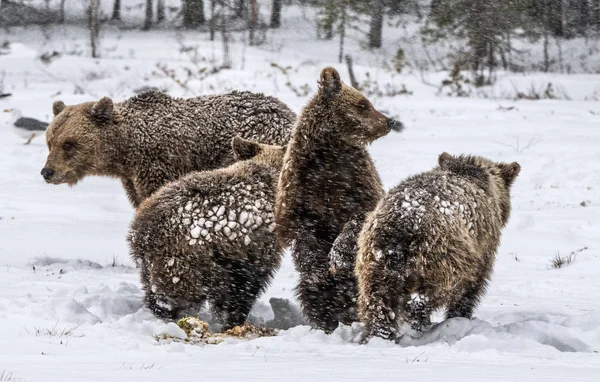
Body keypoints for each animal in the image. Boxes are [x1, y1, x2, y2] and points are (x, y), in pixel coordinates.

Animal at [127, 137, 286, 332]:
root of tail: (143, 231)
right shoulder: (253, 253)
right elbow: (243, 291)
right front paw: (233, 322)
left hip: (152, 266)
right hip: (185, 262)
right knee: (173, 297)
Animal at [276, 65, 404, 332]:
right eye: (363, 104)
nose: (389, 121)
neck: (328, 155)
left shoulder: (356, 182)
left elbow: (359, 216)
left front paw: (338, 257)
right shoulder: (300, 188)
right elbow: (300, 231)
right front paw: (318, 267)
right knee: (313, 295)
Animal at [356, 154, 520, 342]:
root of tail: (401, 225)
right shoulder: (481, 252)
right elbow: (469, 292)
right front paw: (460, 317)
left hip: (373, 261)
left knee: (378, 302)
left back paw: (378, 334)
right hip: (439, 258)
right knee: (424, 298)